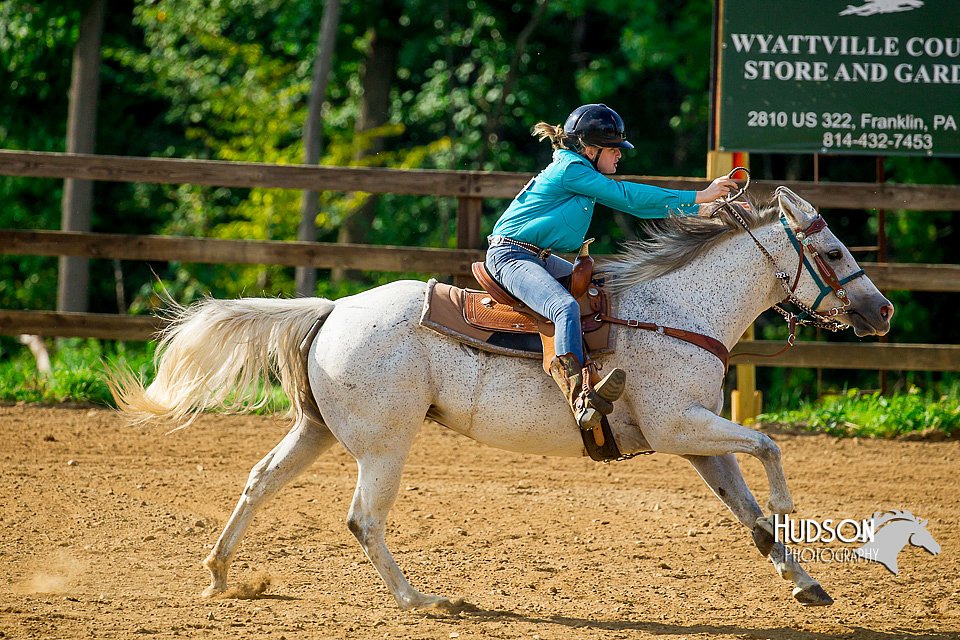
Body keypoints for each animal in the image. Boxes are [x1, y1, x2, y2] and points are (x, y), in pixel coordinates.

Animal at [110, 186, 892, 608]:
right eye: (831, 252)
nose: (881, 311)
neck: (677, 309)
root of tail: (332, 310)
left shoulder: (696, 441)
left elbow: (747, 508)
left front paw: (803, 581)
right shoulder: (681, 427)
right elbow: (769, 447)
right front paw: (793, 517)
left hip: (318, 430)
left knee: (260, 481)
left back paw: (220, 575)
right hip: (384, 444)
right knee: (363, 518)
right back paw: (424, 600)